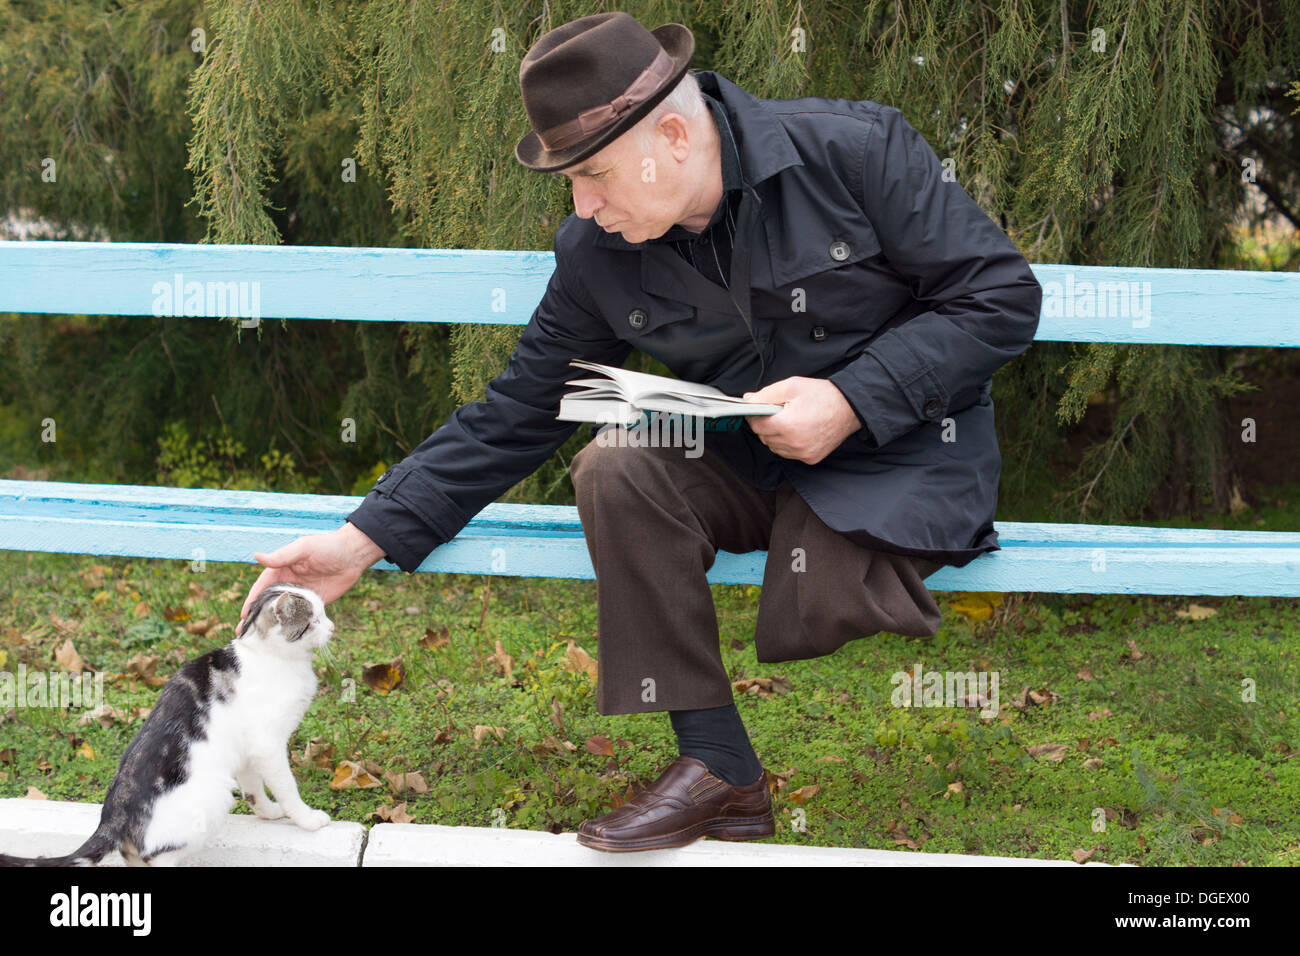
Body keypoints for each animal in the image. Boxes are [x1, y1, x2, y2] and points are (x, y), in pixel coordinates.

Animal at [2, 582, 335, 868]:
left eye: (323, 614)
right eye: (314, 619)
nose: (332, 626)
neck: (274, 658)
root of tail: (112, 815)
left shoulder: (248, 752)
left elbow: (254, 791)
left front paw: (269, 813)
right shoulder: (268, 747)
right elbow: (286, 787)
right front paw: (307, 819)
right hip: (213, 796)